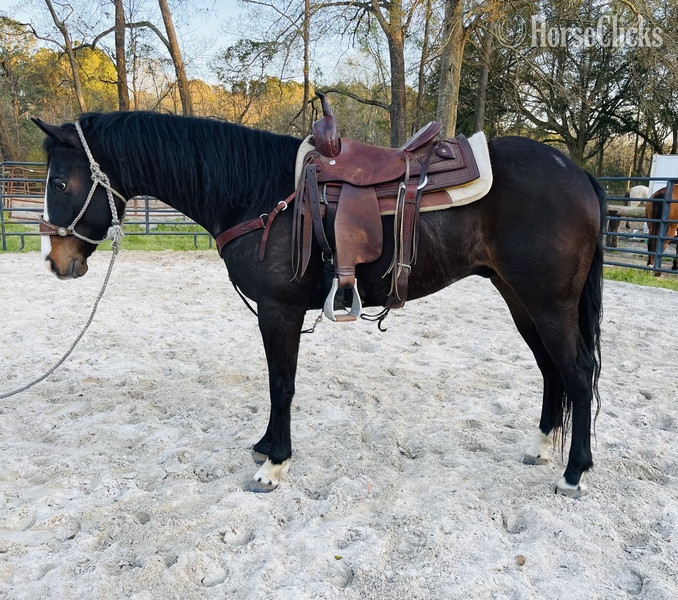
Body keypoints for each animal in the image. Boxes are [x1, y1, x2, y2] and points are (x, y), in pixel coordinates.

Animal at [32, 110, 604, 498]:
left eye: (59, 181)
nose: (55, 261)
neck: (257, 193)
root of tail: (575, 171)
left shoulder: (278, 310)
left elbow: (281, 385)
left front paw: (274, 466)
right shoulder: (273, 313)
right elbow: (273, 382)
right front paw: (267, 446)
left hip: (547, 302)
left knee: (576, 372)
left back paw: (574, 472)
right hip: (520, 298)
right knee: (550, 370)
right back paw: (541, 447)